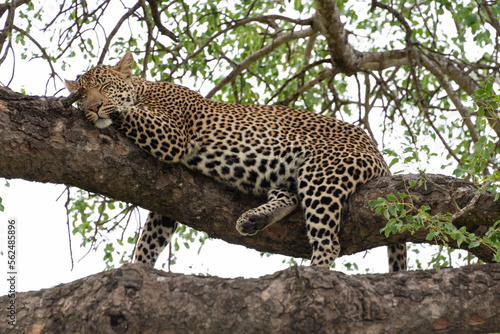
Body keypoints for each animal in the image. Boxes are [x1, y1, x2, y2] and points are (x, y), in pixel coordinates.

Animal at [64, 51, 408, 272]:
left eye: (105, 86)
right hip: (288, 175)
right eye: (81, 94)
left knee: (328, 242)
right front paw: (139, 269)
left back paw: (314, 272)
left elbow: (127, 111)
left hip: (323, 173)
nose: (91, 107)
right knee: (291, 197)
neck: (146, 88)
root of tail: (377, 151)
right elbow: (149, 239)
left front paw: (109, 111)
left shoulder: (173, 135)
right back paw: (255, 219)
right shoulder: (165, 202)